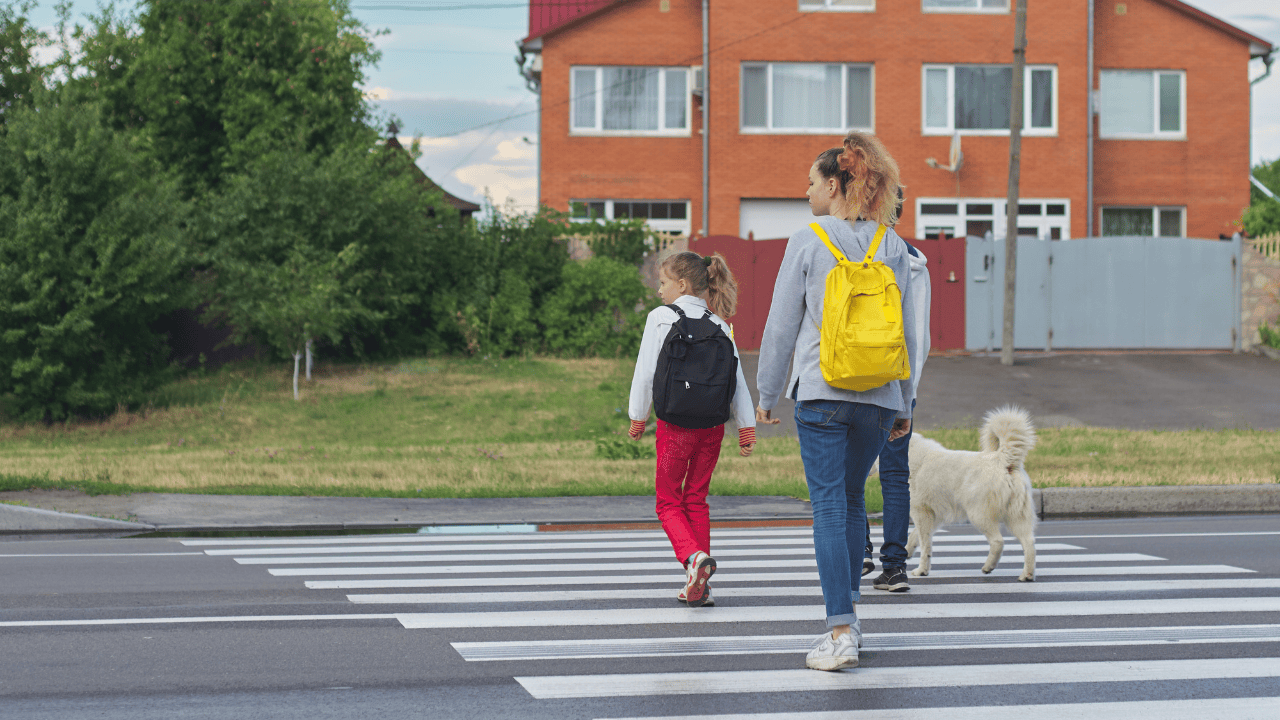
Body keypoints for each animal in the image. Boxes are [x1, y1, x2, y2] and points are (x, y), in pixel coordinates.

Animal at [901, 407, 1039, 579]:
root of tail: (1002, 459)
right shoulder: (934, 516)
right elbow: (915, 536)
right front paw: (907, 552)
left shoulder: (921, 512)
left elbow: (925, 545)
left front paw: (921, 571)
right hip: (1017, 517)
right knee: (1029, 543)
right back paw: (1026, 575)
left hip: (978, 515)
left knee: (998, 542)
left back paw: (988, 567)